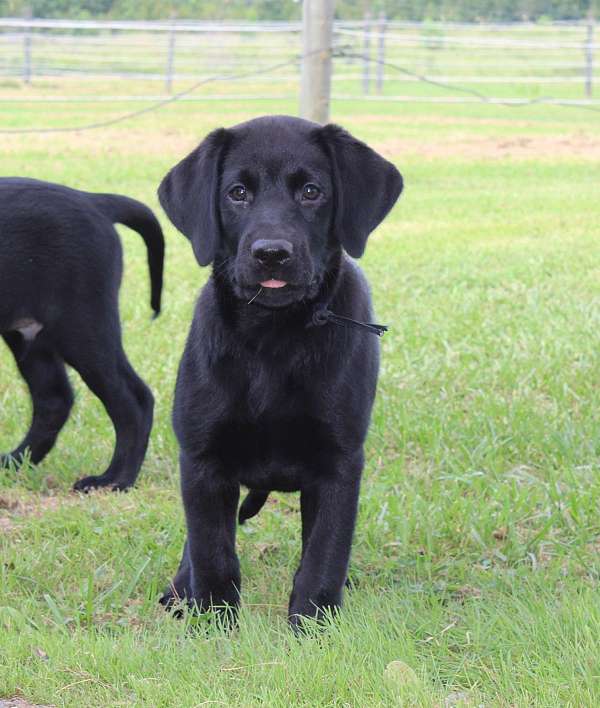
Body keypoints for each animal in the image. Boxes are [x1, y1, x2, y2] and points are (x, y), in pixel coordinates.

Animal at [0, 177, 164, 492]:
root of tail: (93, 201)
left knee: (134, 401)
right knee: (54, 400)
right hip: (33, 337)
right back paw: (13, 462)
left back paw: (114, 481)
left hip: (84, 328)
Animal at [159, 116, 404, 632]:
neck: (273, 340)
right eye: (237, 193)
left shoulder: (339, 463)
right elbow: (212, 553)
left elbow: (323, 555)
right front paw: (214, 625)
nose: (271, 253)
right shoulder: (201, 460)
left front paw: (311, 627)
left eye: (312, 191)